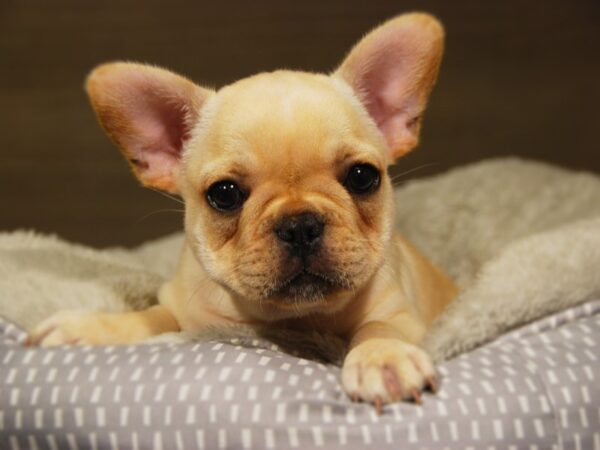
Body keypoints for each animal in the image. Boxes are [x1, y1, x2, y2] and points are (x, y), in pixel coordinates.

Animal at [28, 13, 458, 408]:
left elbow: (380, 327)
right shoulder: (184, 309)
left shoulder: (401, 313)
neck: (297, 317)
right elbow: (153, 316)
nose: (300, 225)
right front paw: (93, 326)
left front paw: (383, 357)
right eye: (225, 194)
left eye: (362, 177)